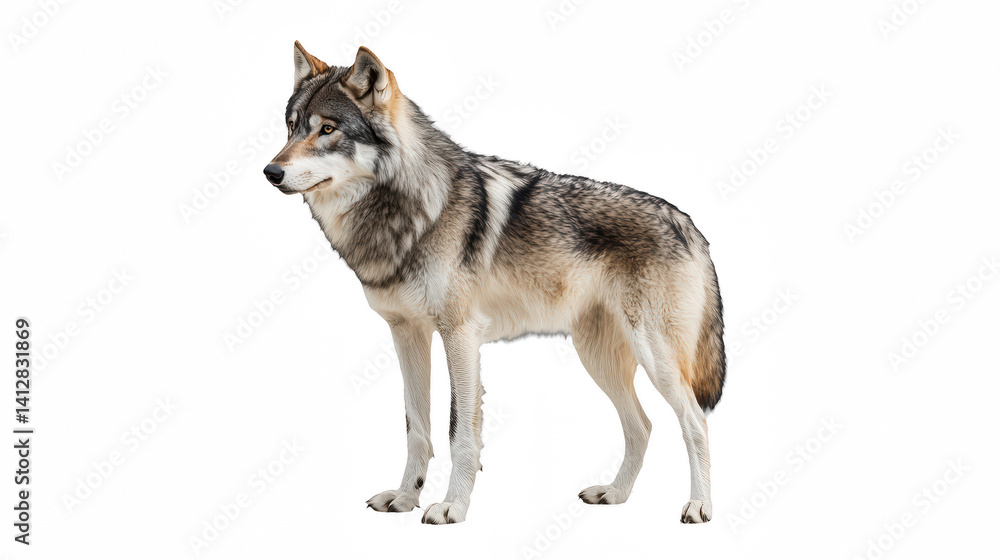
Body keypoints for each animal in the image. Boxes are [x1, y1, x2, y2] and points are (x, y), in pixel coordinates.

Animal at [263, 42, 726, 524]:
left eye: (327, 129)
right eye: (291, 127)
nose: (270, 171)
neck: (412, 209)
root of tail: (690, 225)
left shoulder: (460, 336)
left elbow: (459, 432)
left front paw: (451, 506)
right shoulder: (406, 334)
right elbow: (416, 427)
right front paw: (405, 498)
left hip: (655, 357)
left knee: (695, 422)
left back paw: (699, 506)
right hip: (598, 359)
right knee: (643, 426)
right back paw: (614, 494)